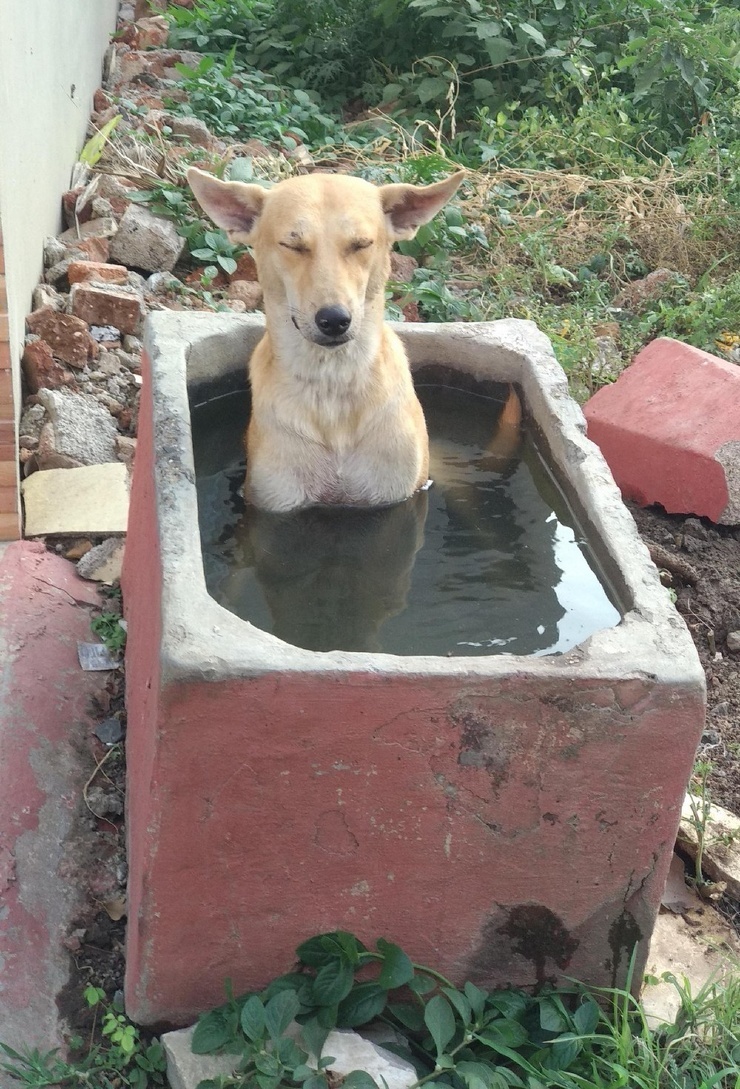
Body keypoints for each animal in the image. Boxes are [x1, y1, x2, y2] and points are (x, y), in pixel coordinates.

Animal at [186, 166, 461, 514]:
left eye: (361, 244)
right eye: (293, 245)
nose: (334, 320)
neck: (332, 384)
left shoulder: (397, 497)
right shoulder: (275, 502)